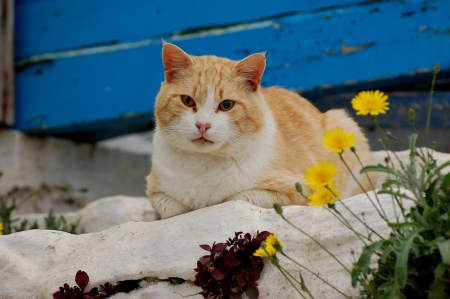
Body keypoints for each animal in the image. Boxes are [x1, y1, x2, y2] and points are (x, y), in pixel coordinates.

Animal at [147, 42, 376, 219]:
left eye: (226, 105)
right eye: (187, 101)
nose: (202, 125)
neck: (204, 165)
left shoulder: (297, 192)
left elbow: (232, 199)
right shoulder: (156, 192)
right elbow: (172, 209)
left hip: (342, 122)